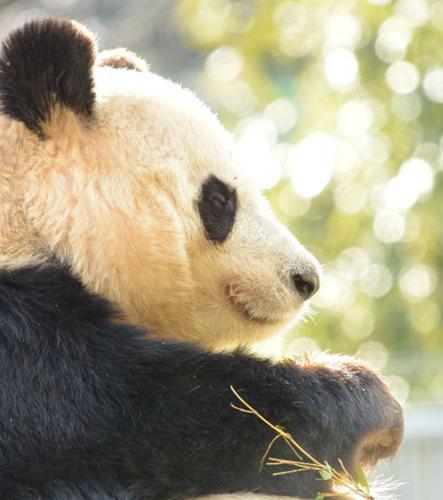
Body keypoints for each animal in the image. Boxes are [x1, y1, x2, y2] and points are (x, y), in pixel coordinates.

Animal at [0, 18, 404, 500]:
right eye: (218, 199)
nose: (305, 280)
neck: (24, 218)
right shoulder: (25, 355)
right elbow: (164, 418)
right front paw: (369, 409)